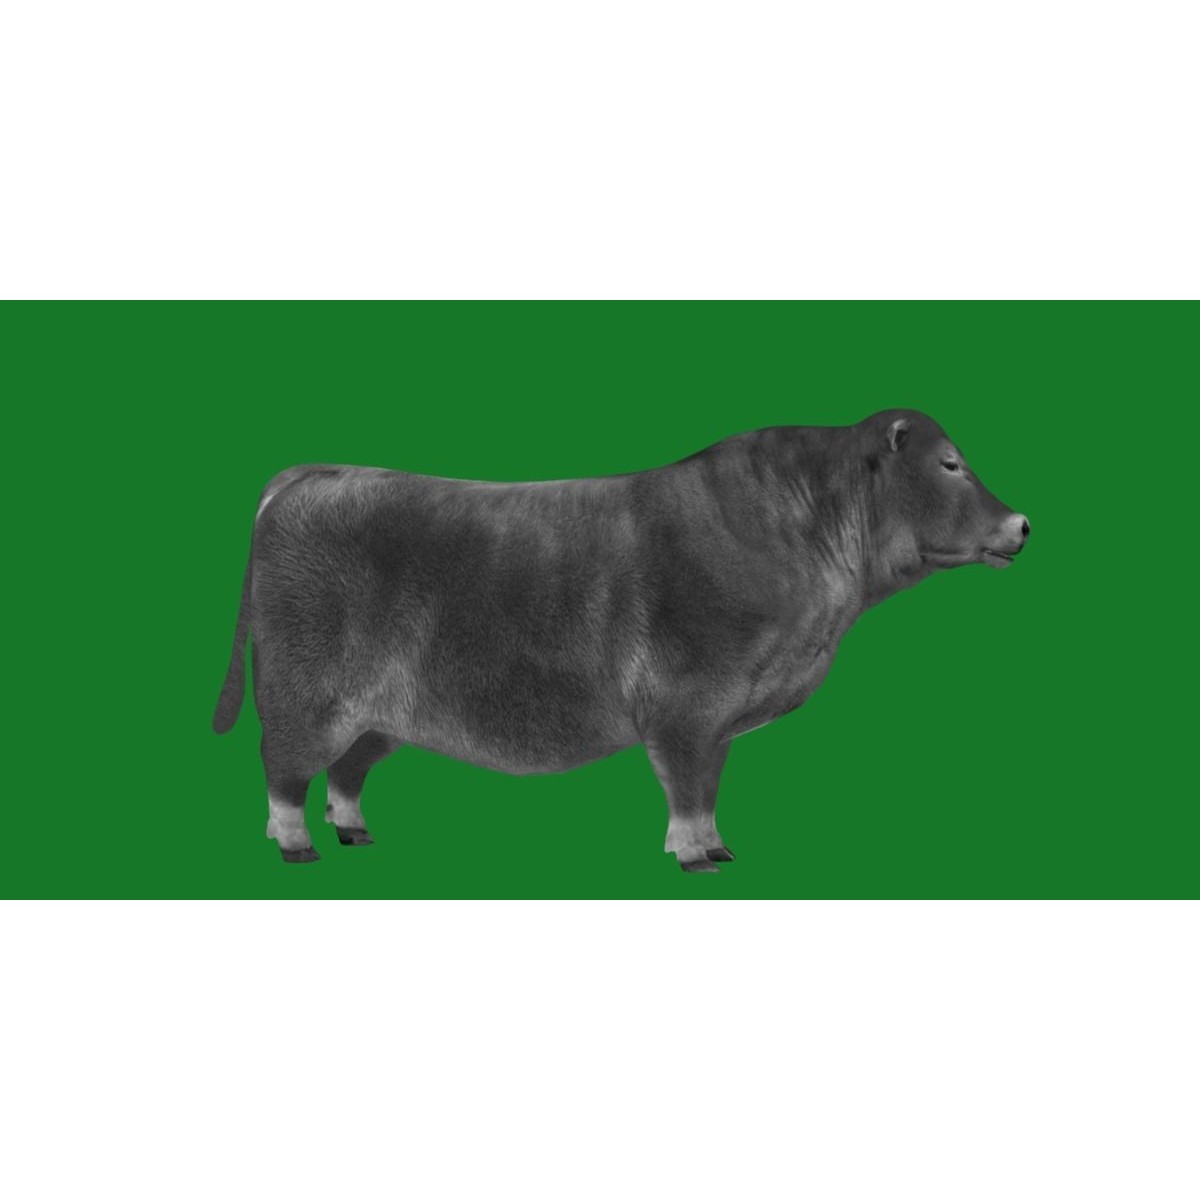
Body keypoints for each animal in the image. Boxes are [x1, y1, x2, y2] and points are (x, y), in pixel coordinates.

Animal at [213, 409, 1029, 871]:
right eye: (950, 463)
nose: (1022, 524)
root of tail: (314, 474)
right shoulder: (688, 707)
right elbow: (690, 790)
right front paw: (699, 856)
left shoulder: (717, 719)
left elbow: (705, 788)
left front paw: (712, 847)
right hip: (305, 693)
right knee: (283, 768)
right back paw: (297, 845)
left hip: (379, 714)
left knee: (346, 772)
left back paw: (354, 832)